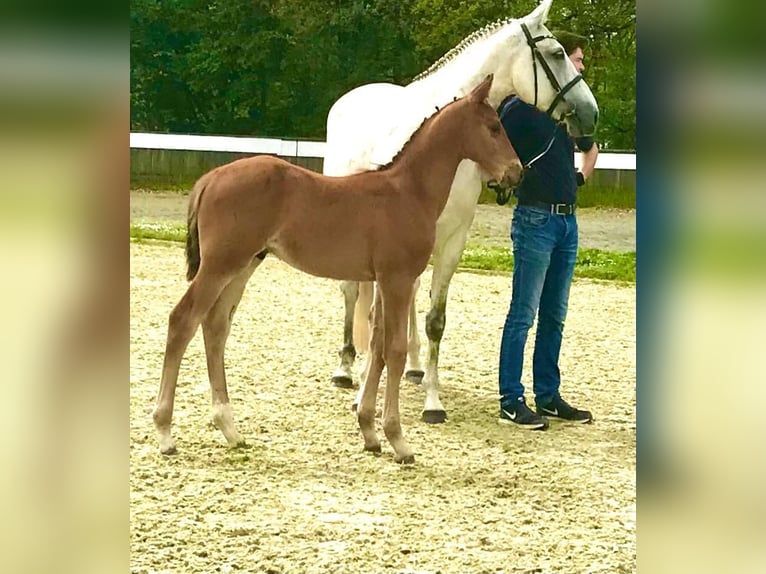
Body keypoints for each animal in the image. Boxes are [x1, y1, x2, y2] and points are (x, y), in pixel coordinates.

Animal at [152, 75, 520, 464]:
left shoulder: (383, 281)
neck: (408, 191)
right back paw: (165, 432)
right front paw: (398, 440)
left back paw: (230, 429)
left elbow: (378, 347)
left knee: (216, 325)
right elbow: (394, 351)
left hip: (244, 264)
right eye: (494, 127)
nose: (517, 172)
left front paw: (370, 433)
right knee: (183, 320)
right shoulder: (398, 278)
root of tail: (209, 179)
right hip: (220, 264)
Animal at [324, 0, 600, 424]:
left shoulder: (452, 240)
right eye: (556, 55)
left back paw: (413, 367)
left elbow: (435, 321)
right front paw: (366, 394)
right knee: (352, 293)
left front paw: (432, 403)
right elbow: (374, 317)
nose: (590, 115)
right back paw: (345, 369)